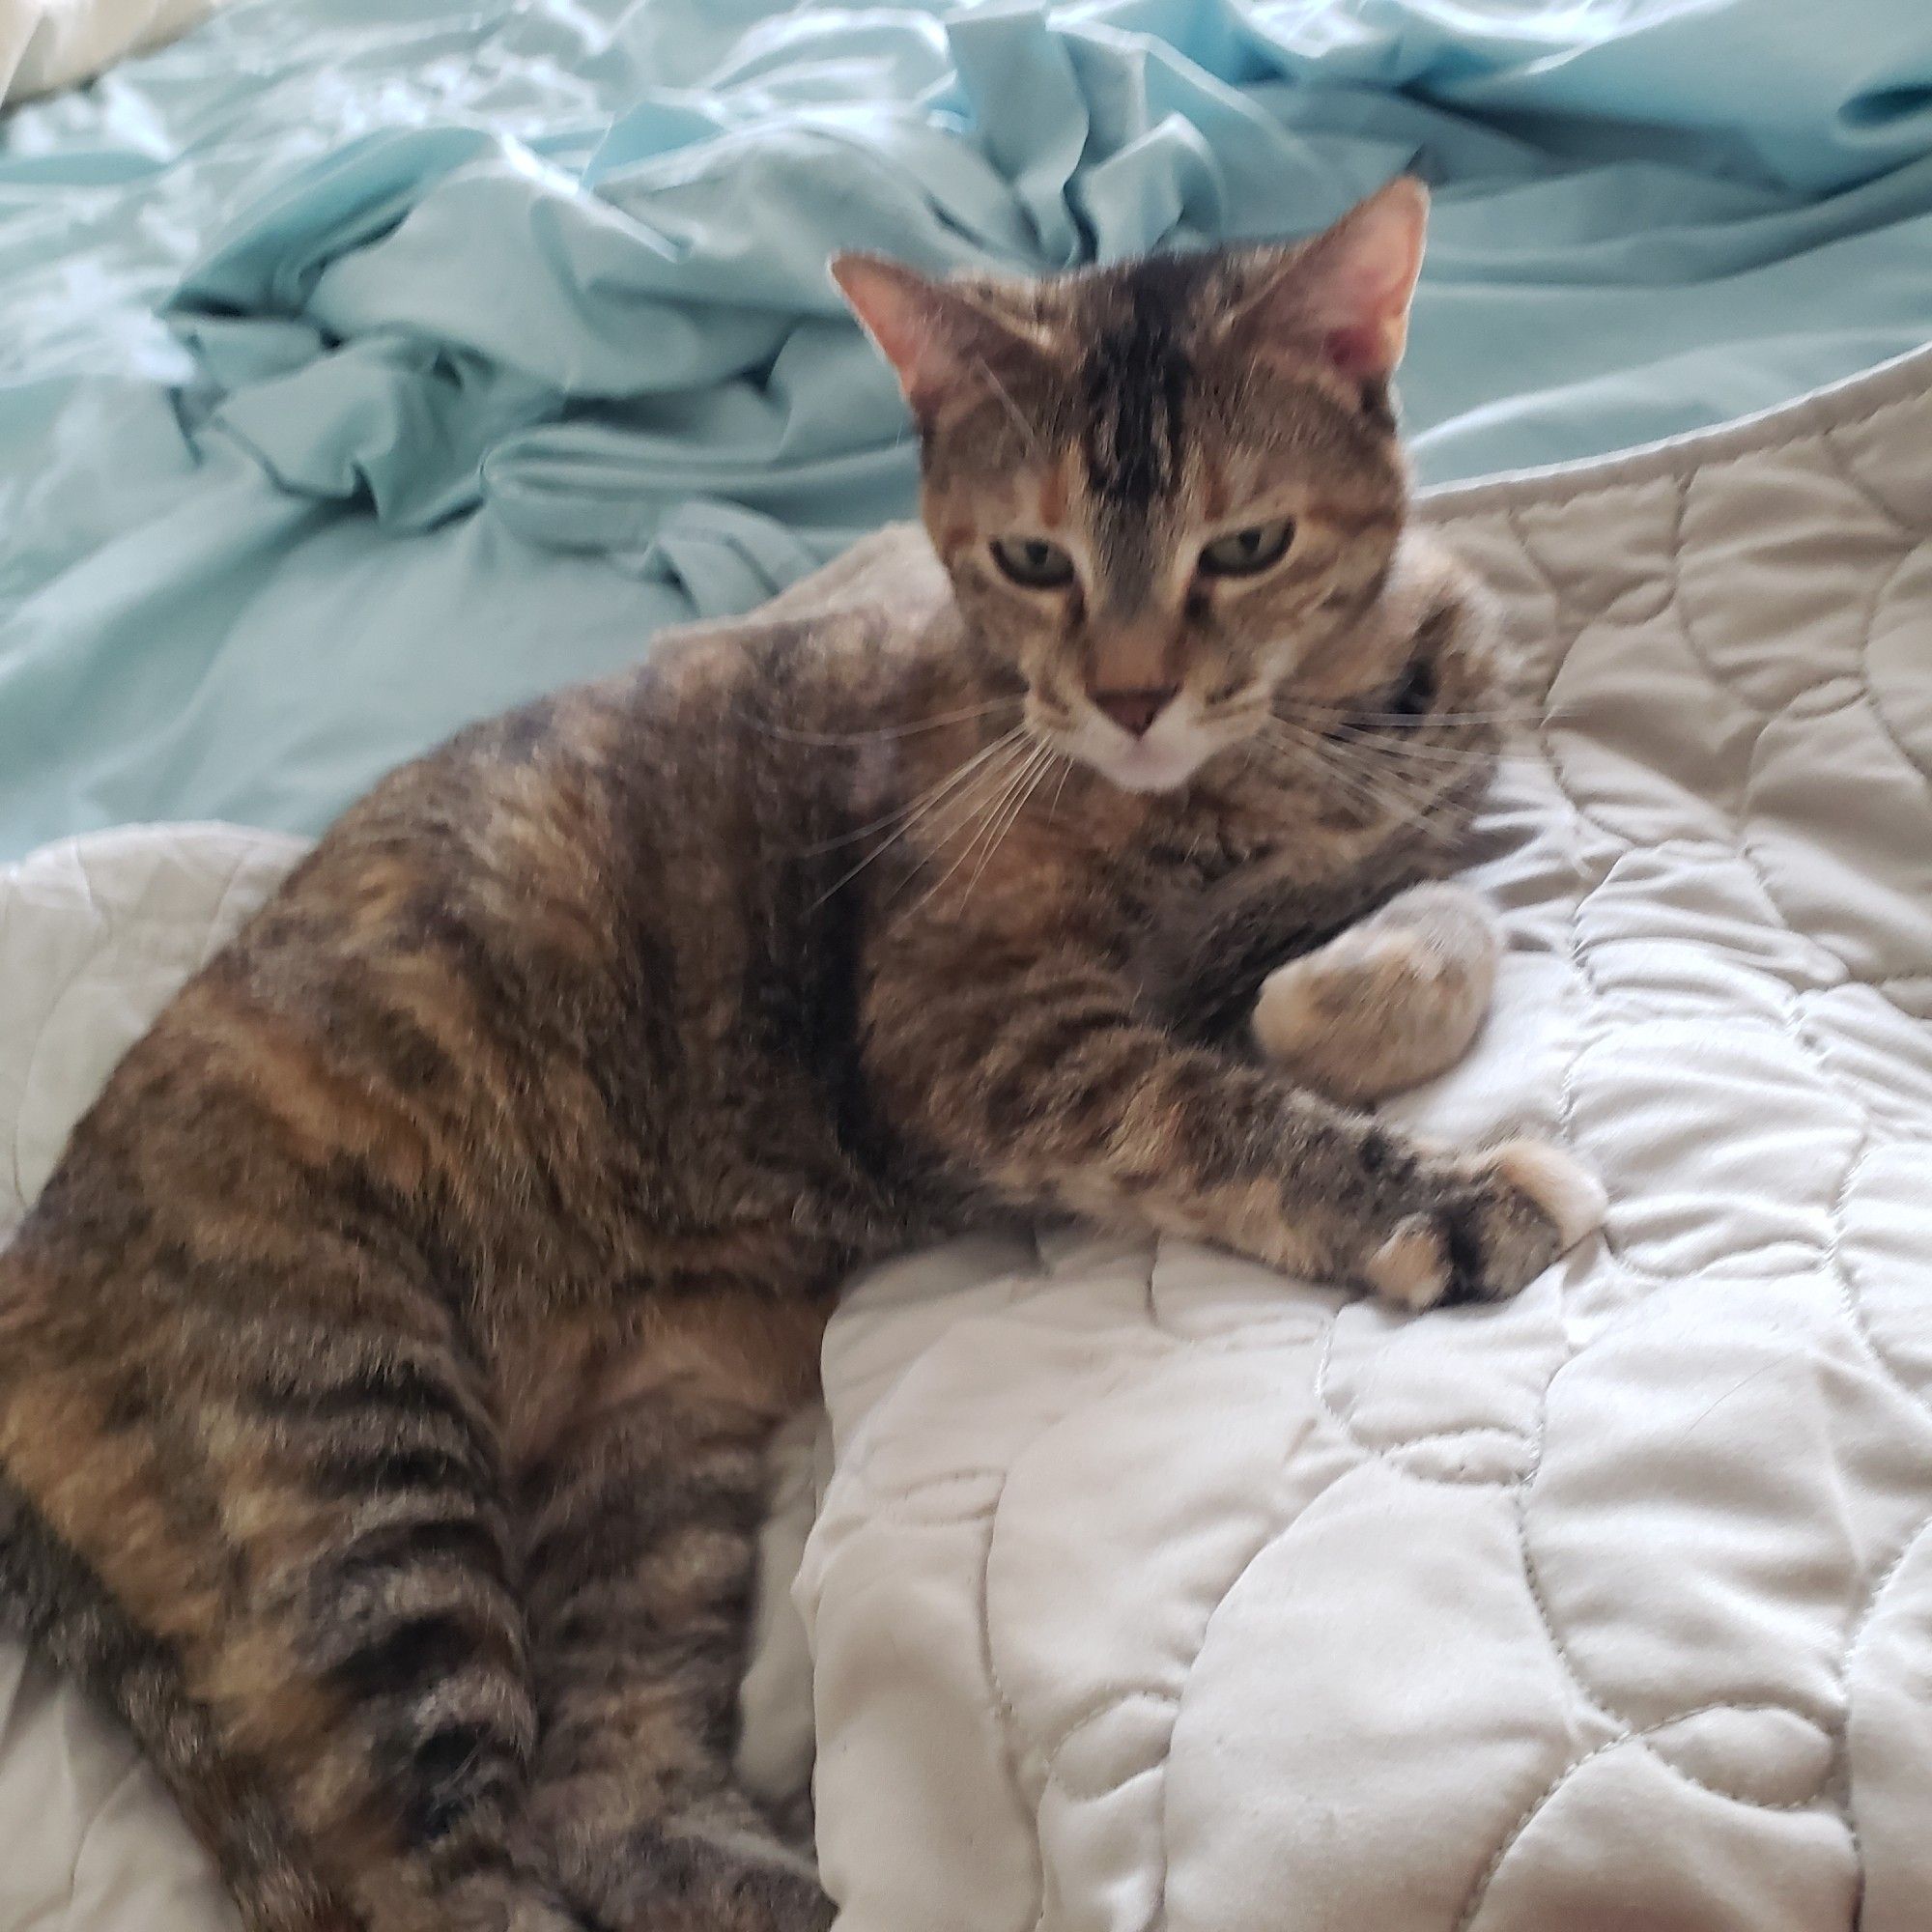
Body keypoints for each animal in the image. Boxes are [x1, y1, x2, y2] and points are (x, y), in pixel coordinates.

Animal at [0, 174, 1600, 1924]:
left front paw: (1349, 994)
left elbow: (1444, 913)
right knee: (434, 1872)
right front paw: (1436, 1195)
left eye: (1243, 547)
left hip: (651, 1447)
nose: (1129, 698)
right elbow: (1215, 1116)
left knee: (596, 1793)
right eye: (1032, 559)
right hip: (358, 1469)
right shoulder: (967, 1038)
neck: (1301, 753)